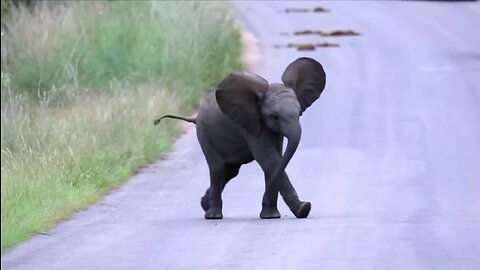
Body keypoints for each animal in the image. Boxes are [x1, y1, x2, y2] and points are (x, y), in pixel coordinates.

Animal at [155, 57, 326, 219]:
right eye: (274, 116)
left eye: (300, 113)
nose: (305, 205)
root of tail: (196, 117)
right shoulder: (251, 124)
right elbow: (269, 159)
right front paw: (303, 209)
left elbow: (275, 161)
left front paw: (271, 216)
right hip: (205, 133)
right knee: (217, 168)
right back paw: (213, 215)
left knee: (230, 171)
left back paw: (205, 204)